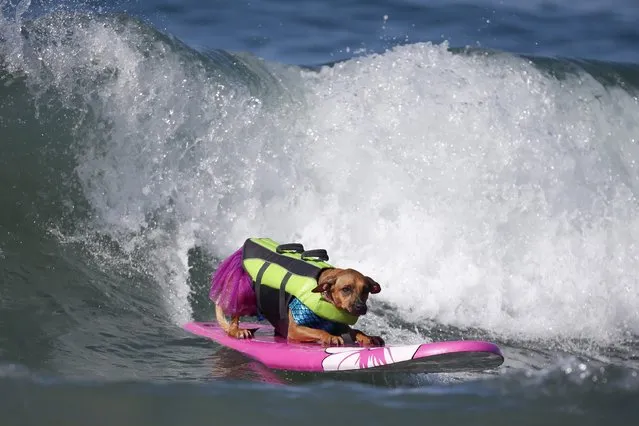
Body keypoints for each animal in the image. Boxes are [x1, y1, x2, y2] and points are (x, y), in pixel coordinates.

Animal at [211, 241, 384, 348]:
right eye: (346, 289)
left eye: (365, 290)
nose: (361, 307)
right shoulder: (295, 330)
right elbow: (319, 331)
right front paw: (330, 336)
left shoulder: (341, 325)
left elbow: (356, 331)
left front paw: (368, 337)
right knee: (234, 318)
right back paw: (238, 331)